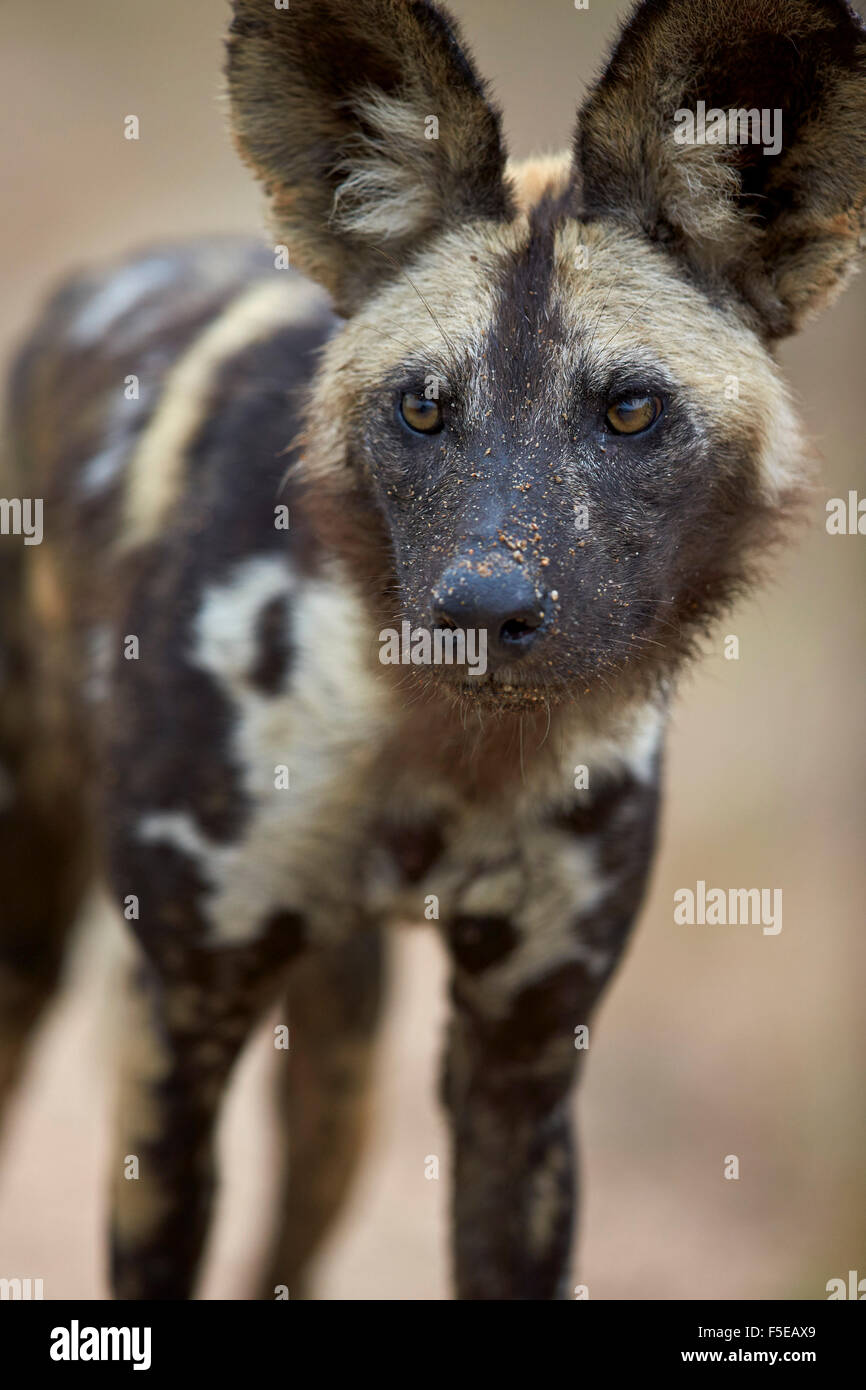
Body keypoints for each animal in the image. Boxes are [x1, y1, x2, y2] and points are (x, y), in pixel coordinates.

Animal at [1, 0, 866, 1301]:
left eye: (627, 410)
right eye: (420, 407)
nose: (480, 608)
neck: (443, 749)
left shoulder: (519, 1067)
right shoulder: (176, 1033)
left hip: (341, 1076)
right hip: (34, 958)